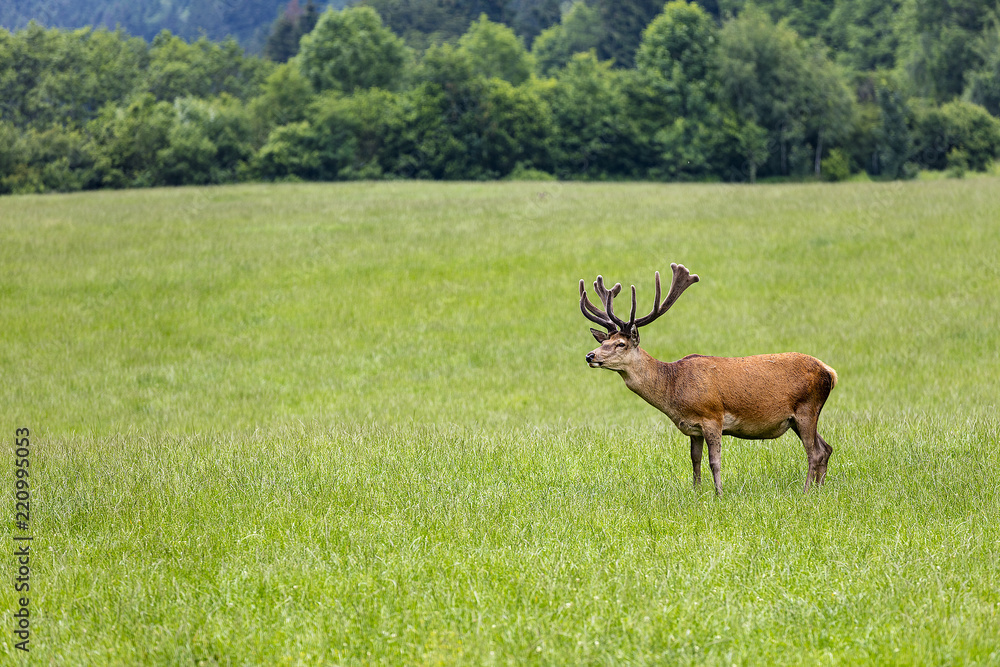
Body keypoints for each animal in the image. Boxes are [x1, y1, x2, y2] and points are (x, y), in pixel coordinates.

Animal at [579, 263, 837, 496]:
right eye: (604, 341)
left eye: (620, 344)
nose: (590, 355)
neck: (674, 389)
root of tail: (829, 372)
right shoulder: (693, 428)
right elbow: (695, 460)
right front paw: (697, 492)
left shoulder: (712, 416)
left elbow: (715, 461)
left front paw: (719, 494)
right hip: (798, 417)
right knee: (825, 448)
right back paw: (819, 490)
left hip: (807, 408)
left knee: (813, 452)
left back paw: (806, 492)